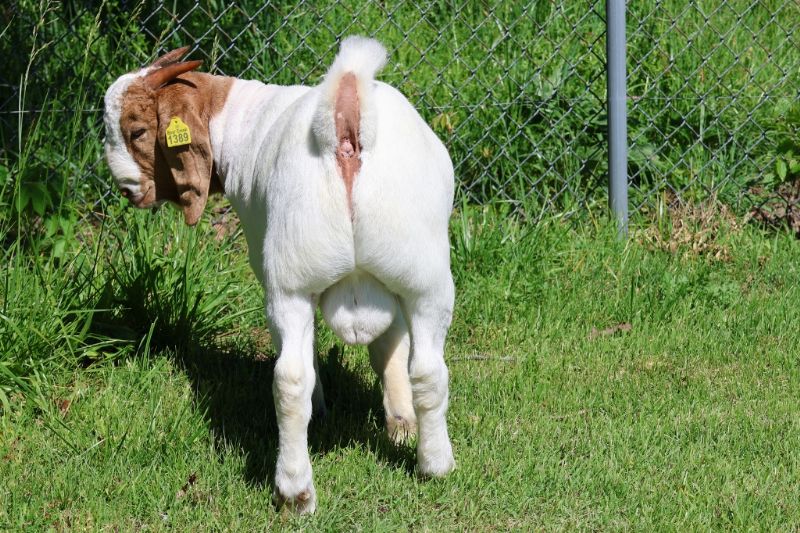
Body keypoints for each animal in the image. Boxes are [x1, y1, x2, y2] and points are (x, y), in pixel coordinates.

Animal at [103, 37, 455, 514]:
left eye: (138, 131)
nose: (127, 191)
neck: (238, 118)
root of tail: (343, 118)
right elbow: (390, 344)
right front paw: (401, 423)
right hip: (415, 276)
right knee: (424, 372)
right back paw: (425, 465)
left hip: (291, 282)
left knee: (292, 378)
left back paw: (297, 489)